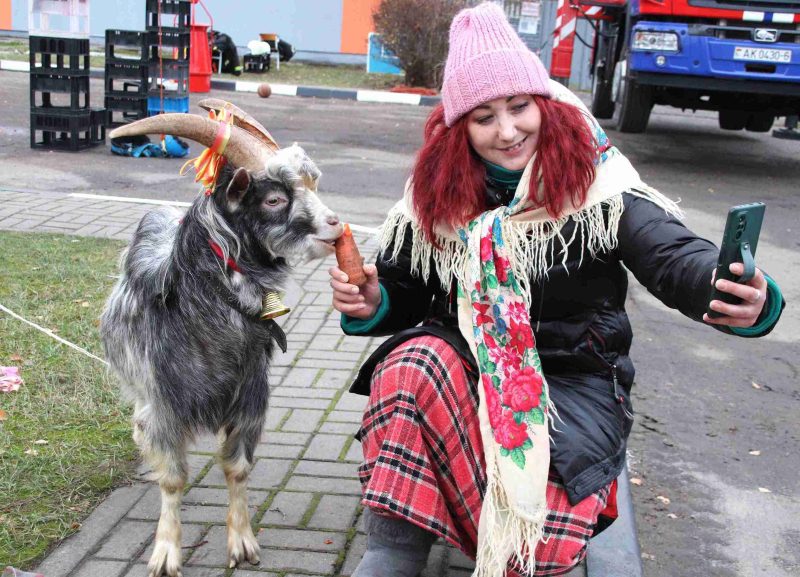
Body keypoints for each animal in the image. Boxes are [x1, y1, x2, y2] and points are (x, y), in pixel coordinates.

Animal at [98, 102, 342, 576]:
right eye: (274, 198)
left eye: (311, 184)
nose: (335, 227)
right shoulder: (166, 404)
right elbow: (172, 478)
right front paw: (166, 551)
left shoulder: (250, 400)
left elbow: (237, 469)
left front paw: (242, 542)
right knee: (140, 421)